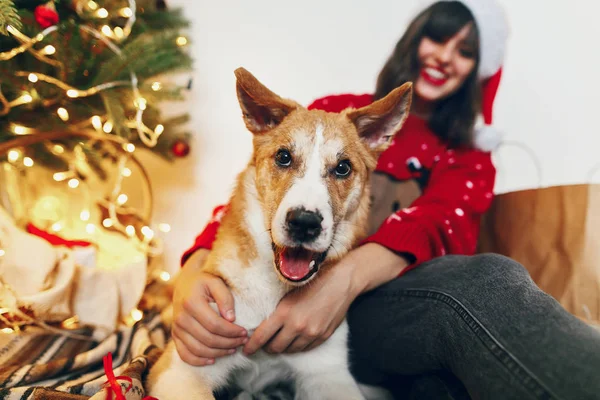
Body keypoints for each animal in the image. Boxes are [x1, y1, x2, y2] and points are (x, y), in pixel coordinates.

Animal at [146, 69, 412, 400]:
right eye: (284, 157)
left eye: (343, 167)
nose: (304, 223)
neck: (270, 293)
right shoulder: (180, 371)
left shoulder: (328, 374)